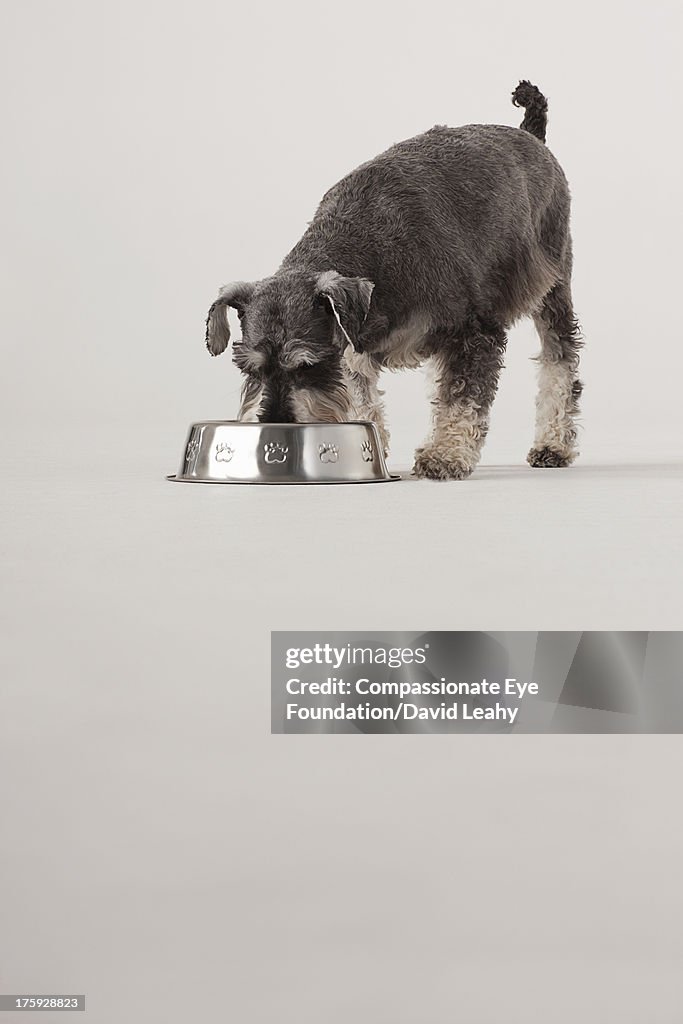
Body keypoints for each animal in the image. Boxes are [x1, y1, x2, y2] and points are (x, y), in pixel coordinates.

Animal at [204, 80, 581, 479]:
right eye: (250, 369)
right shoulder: (352, 347)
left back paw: (553, 444)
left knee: (560, 362)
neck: (369, 247)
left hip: (553, 285)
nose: (276, 424)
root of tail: (531, 135)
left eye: (308, 365)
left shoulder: (475, 333)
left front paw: (446, 454)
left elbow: (462, 398)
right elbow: (362, 400)